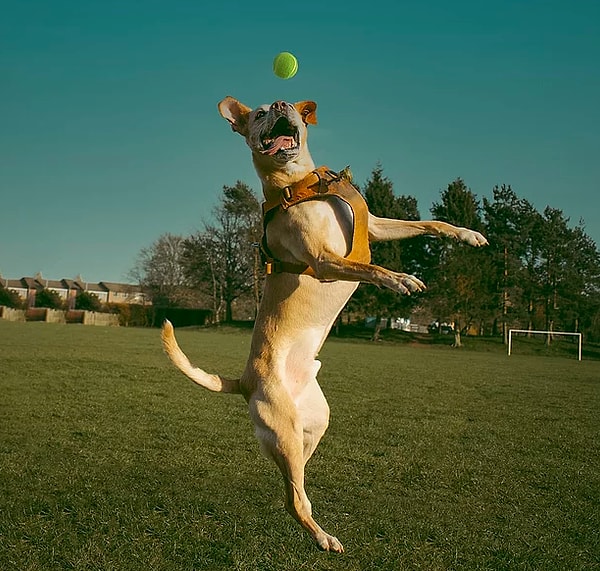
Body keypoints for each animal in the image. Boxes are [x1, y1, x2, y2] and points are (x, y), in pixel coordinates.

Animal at [163, 98, 488, 556]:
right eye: (260, 113)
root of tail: (244, 381)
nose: (281, 105)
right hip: (283, 430)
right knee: (294, 499)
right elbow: (370, 267)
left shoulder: (375, 226)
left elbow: (428, 223)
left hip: (313, 425)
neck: (300, 186)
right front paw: (400, 279)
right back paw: (322, 536)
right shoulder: (322, 261)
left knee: (295, 482)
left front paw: (467, 234)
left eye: (283, 106)